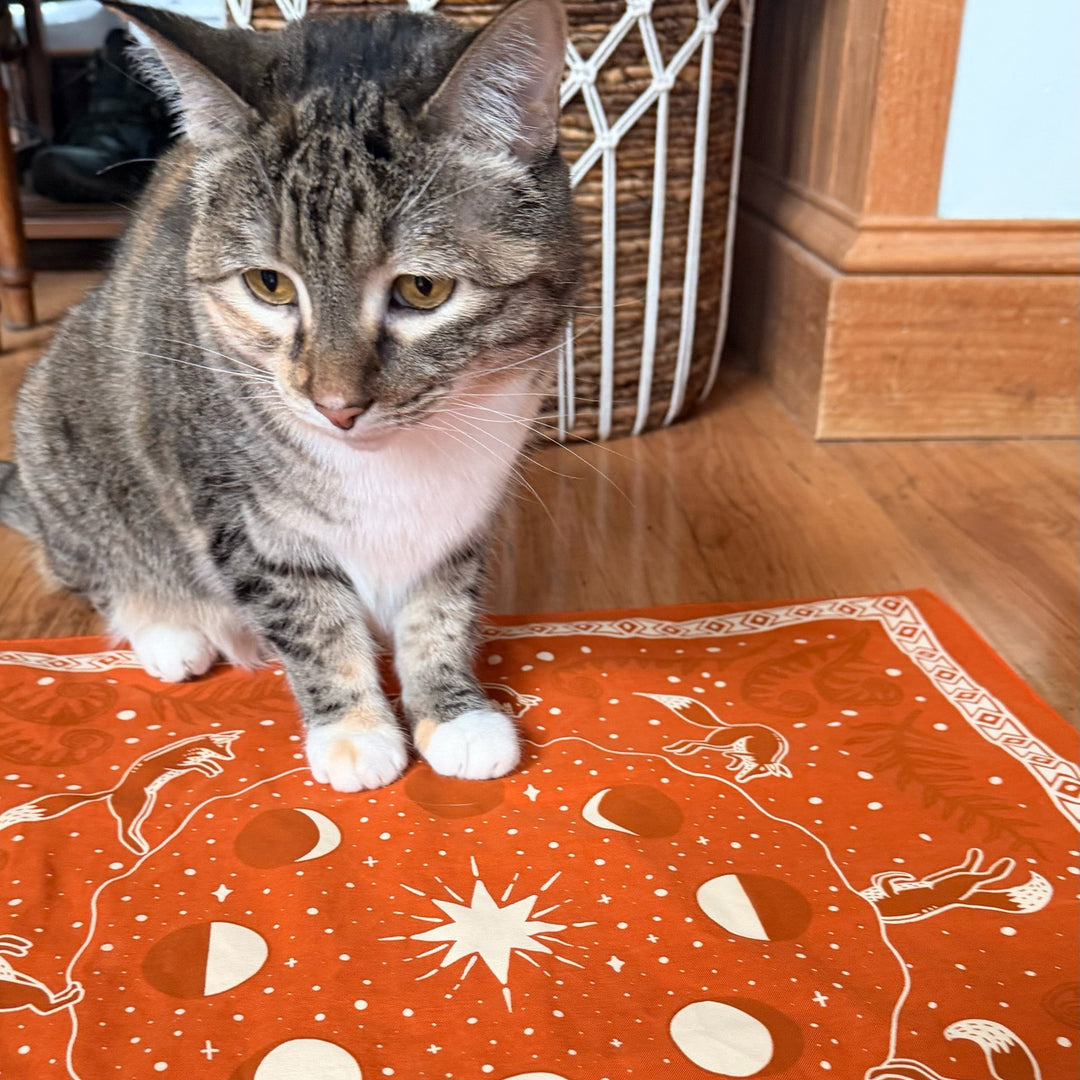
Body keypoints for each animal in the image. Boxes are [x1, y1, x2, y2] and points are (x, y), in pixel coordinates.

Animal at [0, 730, 242, 855]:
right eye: (222, 748)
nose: (231, 757)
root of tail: (113, 791)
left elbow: (204, 764)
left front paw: (213, 769)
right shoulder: (175, 764)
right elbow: (197, 765)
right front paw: (210, 768)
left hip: (144, 804)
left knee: (131, 830)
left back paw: (142, 847)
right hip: (135, 806)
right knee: (125, 832)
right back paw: (141, 850)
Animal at [636, 693, 793, 783]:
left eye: (761, 772)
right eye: (754, 768)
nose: (740, 779)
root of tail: (728, 726)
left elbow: (735, 758)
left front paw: (733, 766)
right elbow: (734, 757)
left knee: (699, 744)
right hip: (721, 741)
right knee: (697, 743)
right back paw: (679, 749)